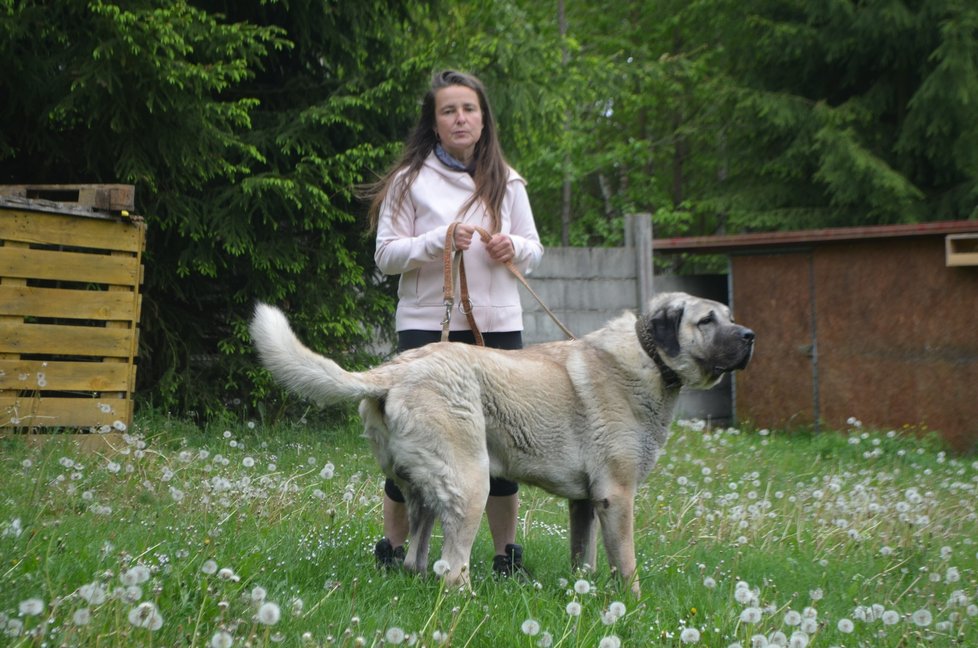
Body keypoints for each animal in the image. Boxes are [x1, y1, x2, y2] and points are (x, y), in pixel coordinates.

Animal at [248, 292, 752, 592]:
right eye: (706, 321)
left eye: (731, 316)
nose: (751, 335)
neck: (649, 358)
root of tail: (396, 368)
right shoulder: (617, 496)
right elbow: (625, 562)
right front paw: (632, 601)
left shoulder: (586, 502)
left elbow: (583, 556)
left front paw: (583, 594)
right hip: (471, 484)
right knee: (452, 569)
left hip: (424, 493)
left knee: (417, 558)